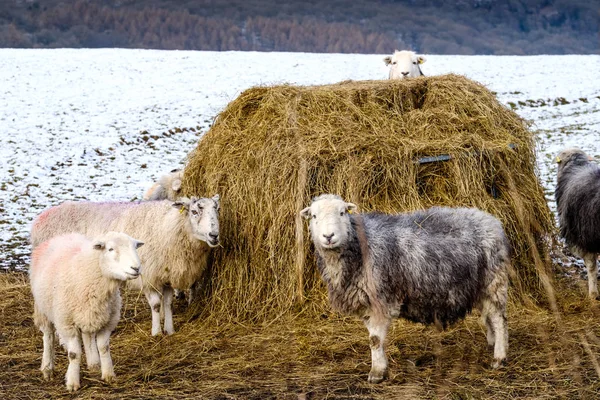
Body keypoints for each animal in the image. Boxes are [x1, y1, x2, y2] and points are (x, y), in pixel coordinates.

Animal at [28, 195, 220, 336]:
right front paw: (156, 332)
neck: (168, 226)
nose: (214, 235)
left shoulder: (165, 274)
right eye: (194, 211)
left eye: (217, 210)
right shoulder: (148, 274)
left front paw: (170, 330)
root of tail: (39, 220)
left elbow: (168, 303)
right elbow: (156, 305)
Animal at [29, 231, 144, 390]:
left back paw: (93, 364)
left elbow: (104, 347)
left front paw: (108, 374)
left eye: (134, 247)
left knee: (87, 336)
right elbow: (74, 354)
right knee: (48, 336)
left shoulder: (107, 321)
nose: (136, 268)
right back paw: (47, 368)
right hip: (43, 308)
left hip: (88, 314)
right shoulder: (67, 323)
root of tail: (62, 235)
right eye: (110, 249)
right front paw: (72, 382)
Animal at [302, 195, 508, 382]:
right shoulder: (367, 303)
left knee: (498, 319)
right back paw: (492, 343)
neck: (360, 246)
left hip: (493, 280)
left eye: (342, 212)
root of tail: (491, 220)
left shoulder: (381, 299)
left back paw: (499, 356)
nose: (328, 237)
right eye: (313, 216)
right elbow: (373, 339)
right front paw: (380, 367)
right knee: (489, 314)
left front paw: (377, 373)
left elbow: (375, 340)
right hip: (479, 286)